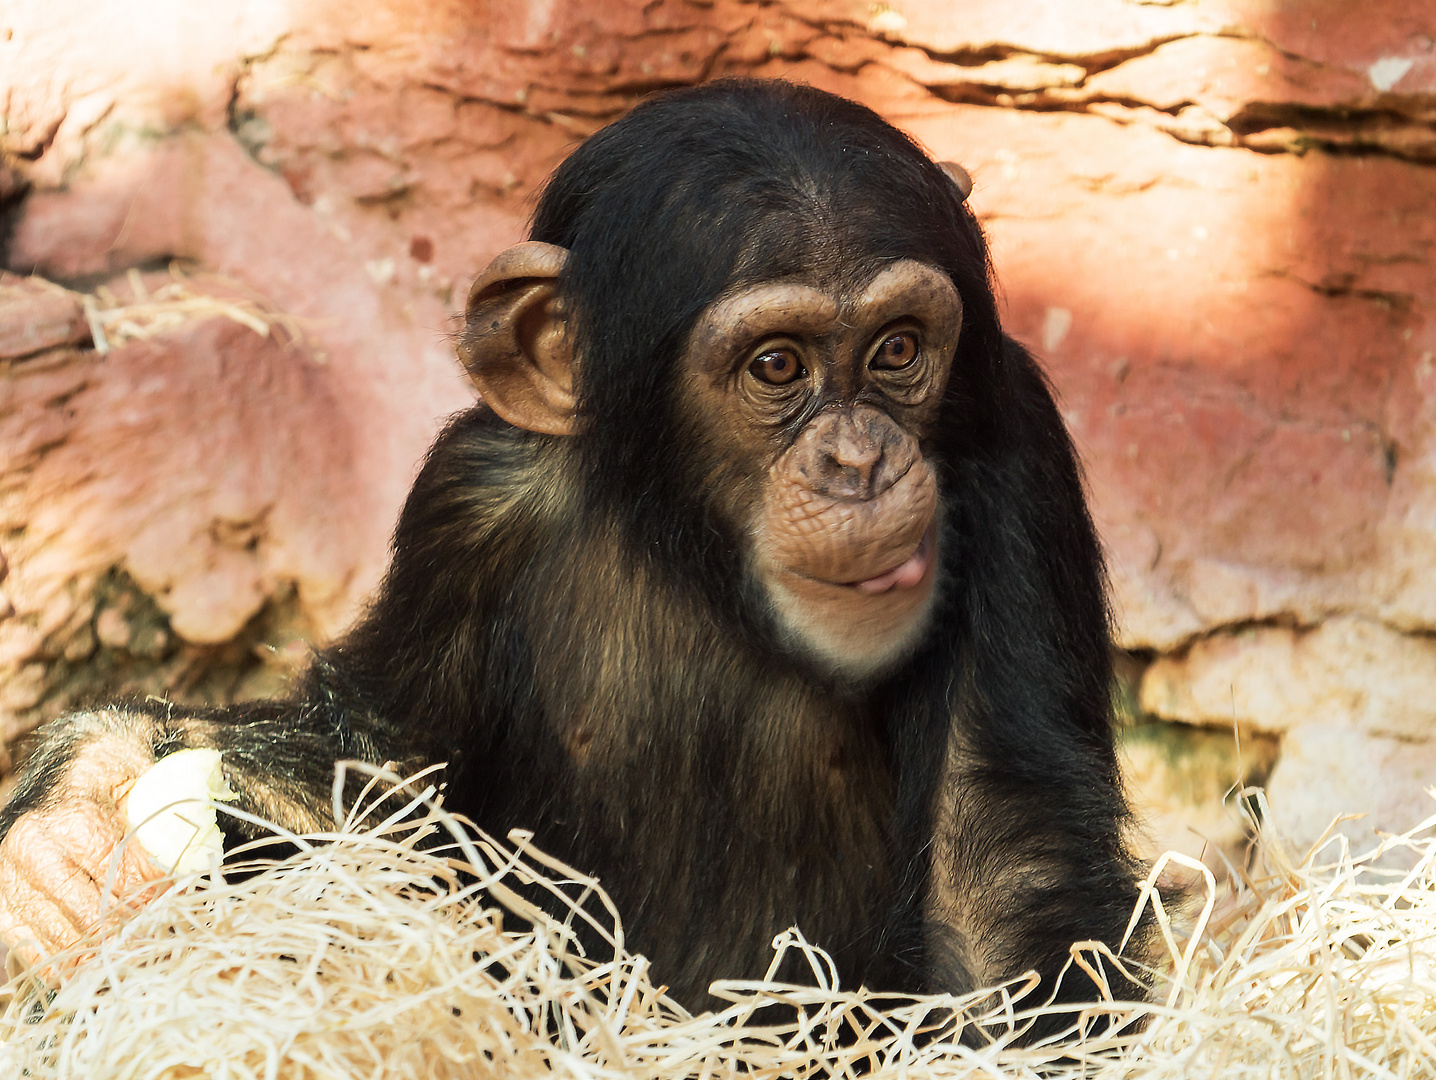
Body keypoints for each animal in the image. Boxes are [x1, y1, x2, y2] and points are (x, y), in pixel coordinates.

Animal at [0, 77, 1148, 1028]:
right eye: (776, 366)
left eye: (899, 348)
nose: (860, 460)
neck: (693, 549)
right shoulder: (466, 502)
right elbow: (379, 763)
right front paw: (72, 829)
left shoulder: (1014, 457)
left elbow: (997, 876)